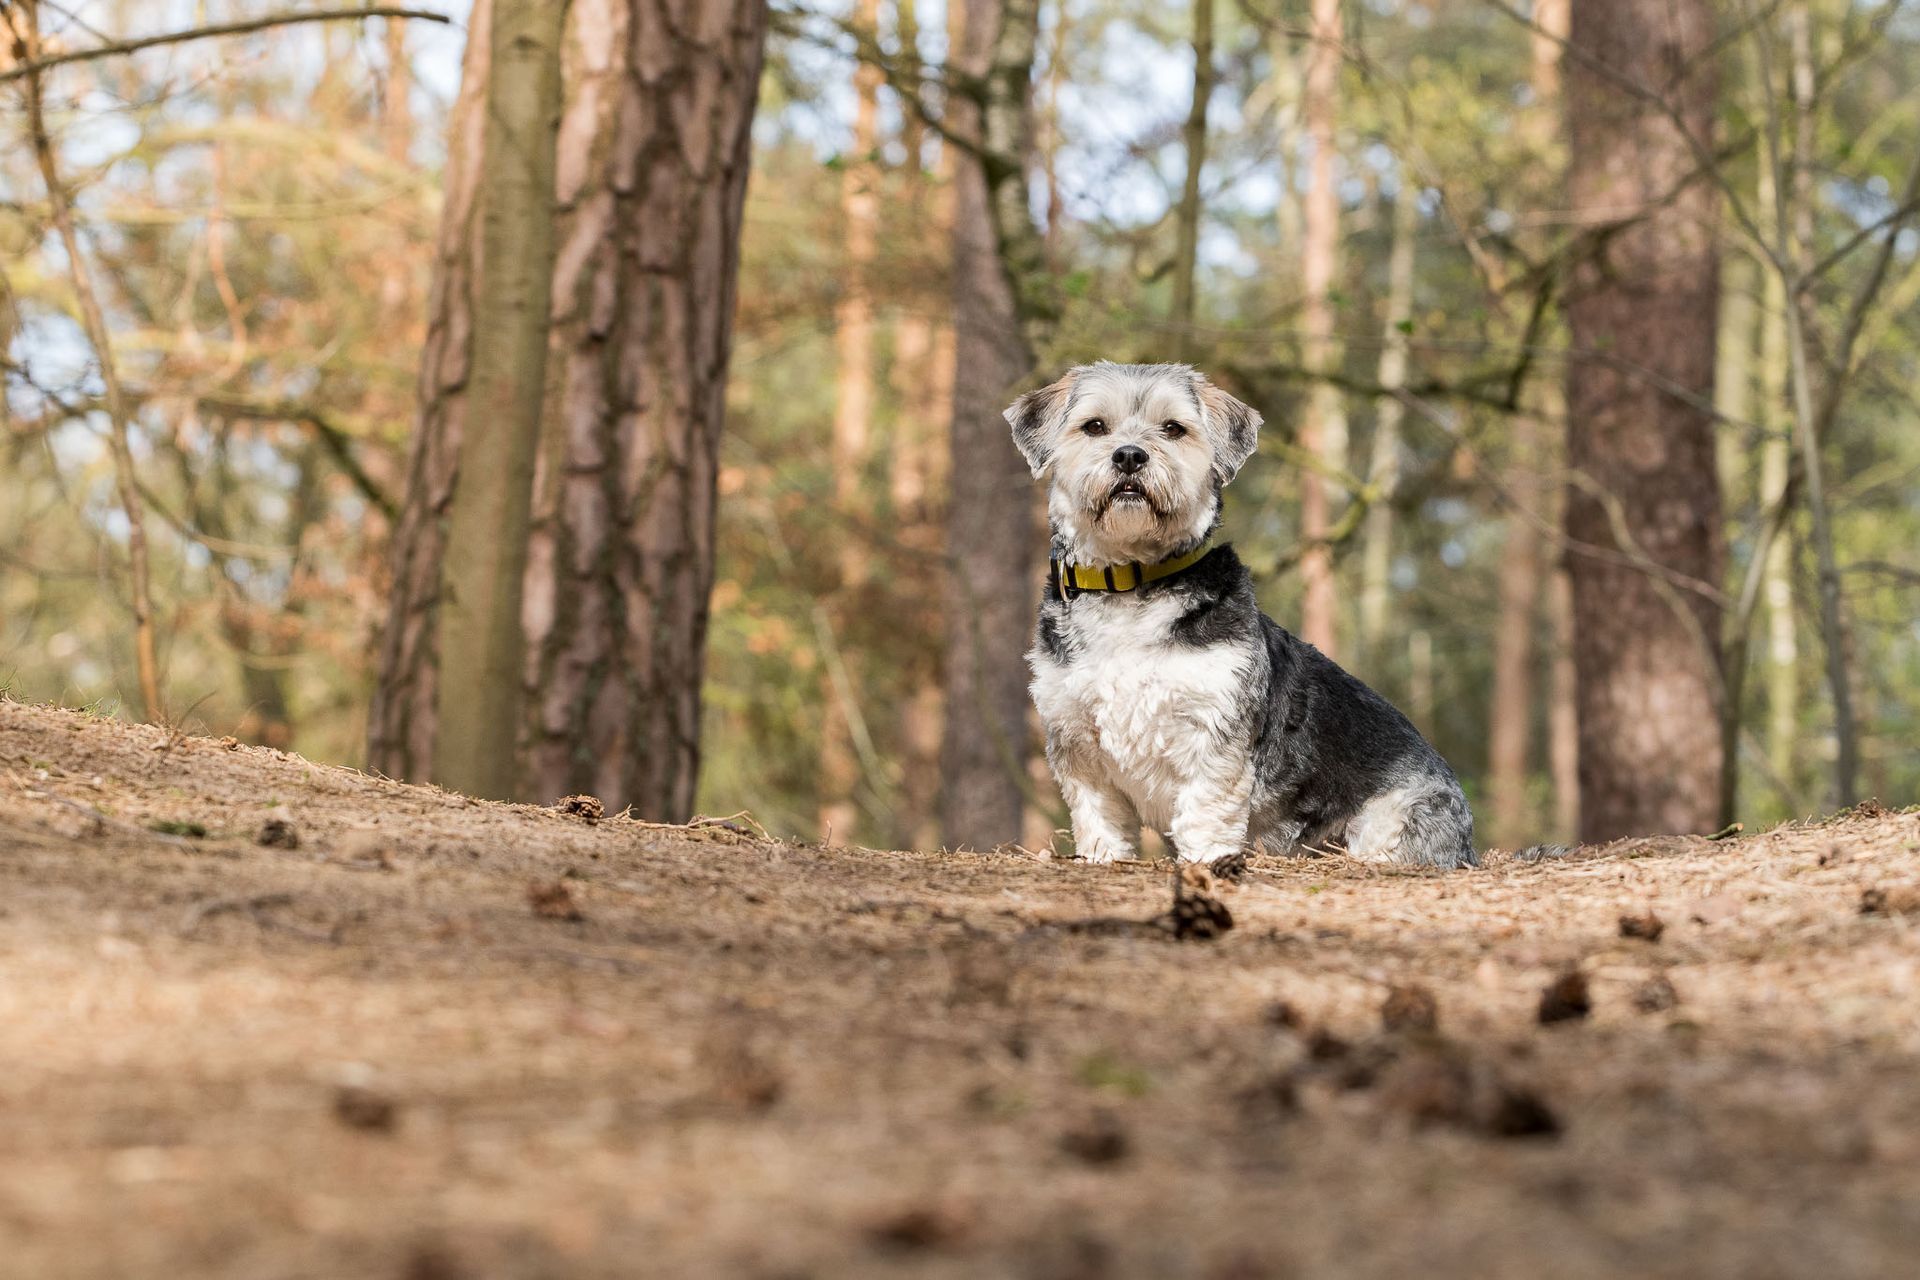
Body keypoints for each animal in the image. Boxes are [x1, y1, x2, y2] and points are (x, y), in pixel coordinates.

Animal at [1007, 360, 1478, 869]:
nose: (1130, 456)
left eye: (1173, 429)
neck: (1132, 585)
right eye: (1094, 426)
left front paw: (1206, 862)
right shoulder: (1076, 742)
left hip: (1395, 817)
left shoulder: (1214, 730)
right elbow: (1100, 817)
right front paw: (1103, 857)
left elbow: (1205, 809)